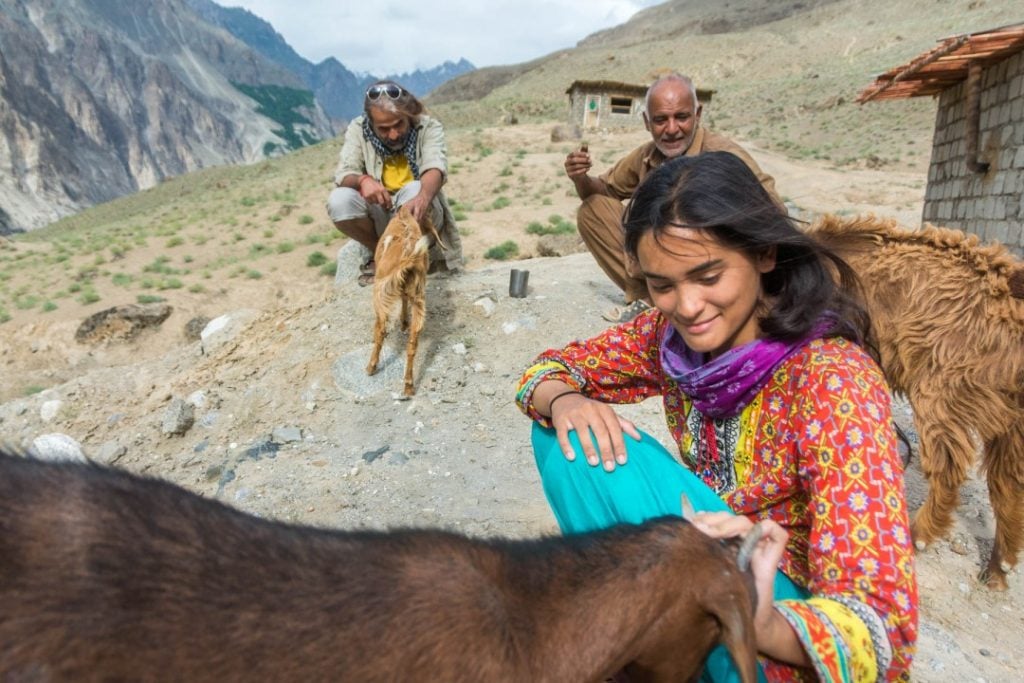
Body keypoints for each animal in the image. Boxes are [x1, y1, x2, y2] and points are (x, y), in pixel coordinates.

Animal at [368, 204, 444, 395]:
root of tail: (409, 258)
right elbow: (403, 302)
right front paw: (403, 323)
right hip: (419, 301)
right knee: (412, 344)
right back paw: (408, 386)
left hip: (380, 295)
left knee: (380, 330)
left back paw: (371, 367)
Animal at [806, 216, 1024, 589]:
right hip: (1011, 414)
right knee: (1008, 481)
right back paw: (999, 567)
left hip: (943, 381)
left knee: (950, 464)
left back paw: (918, 535)